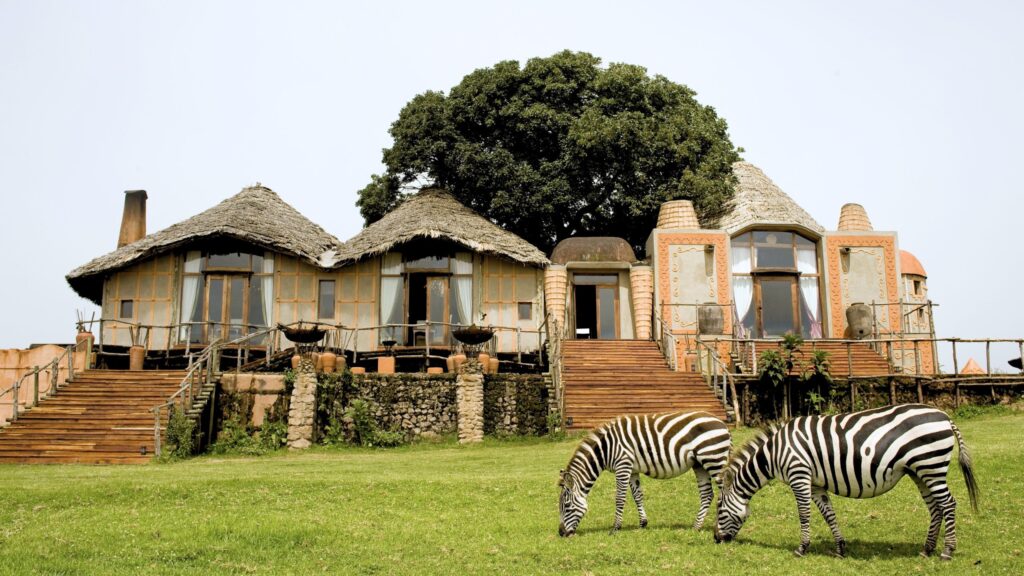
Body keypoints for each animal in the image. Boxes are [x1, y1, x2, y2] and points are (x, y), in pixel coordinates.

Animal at [557, 407, 733, 532]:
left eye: (566, 506)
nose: (561, 533)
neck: (605, 448)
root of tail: (723, 424)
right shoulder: (632, 469)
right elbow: (638, 496)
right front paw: (642, 523)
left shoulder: (623, 465)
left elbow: (620, 498)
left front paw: (616, 527)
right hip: (700, 464)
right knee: (707, 494)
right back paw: (696, 526)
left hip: (714, 459)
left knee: (726, 491)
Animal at [716, 401, 978, 557]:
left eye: (719, 510)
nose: (716, 540)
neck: (774, 453)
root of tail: (944, 415)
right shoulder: (816, 484)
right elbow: (829, 514)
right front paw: (840, 548)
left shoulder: (799, 475)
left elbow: (804, 515)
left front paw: (801, 548)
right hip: (920, 471)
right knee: (935, 507)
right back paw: (927, 549)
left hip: (931, 465)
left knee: (948, 504)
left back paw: (947, 550)